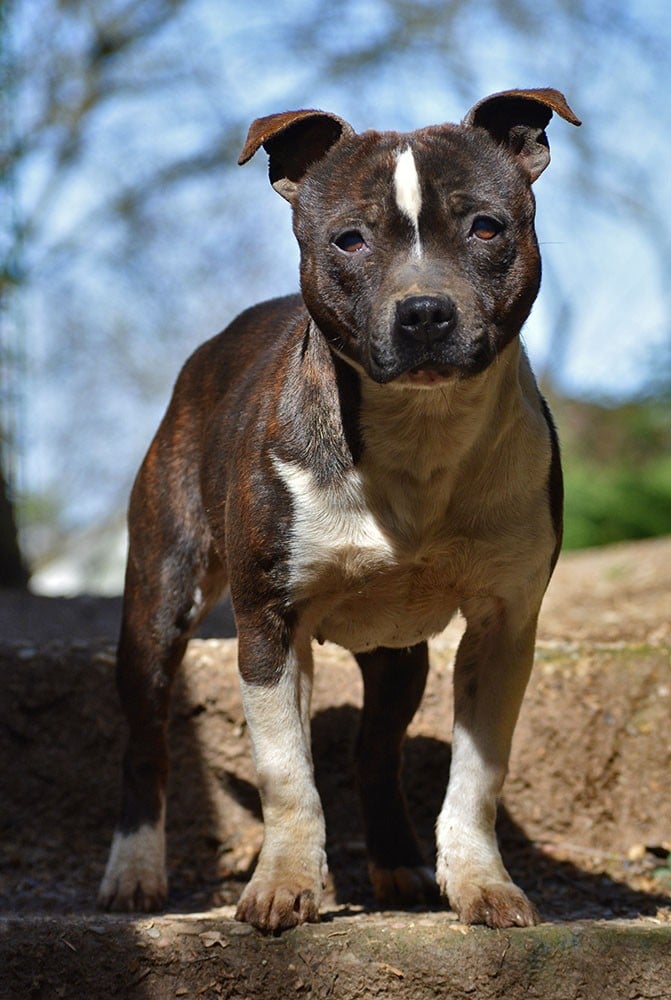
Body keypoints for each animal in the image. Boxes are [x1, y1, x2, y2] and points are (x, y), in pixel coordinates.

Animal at [100, 86, 584, 928]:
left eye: (486, 227)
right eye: (349, 240)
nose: (423, 311)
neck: (420, 435)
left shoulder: (503, 626)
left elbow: (477, 777)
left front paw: (481, 884)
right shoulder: (268, 625)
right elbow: (286, 774)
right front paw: (283, 885)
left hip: (397, 654)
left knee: (374, 751)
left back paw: (396, 865)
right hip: (160, 598)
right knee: (148, 739)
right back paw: (134, 872)